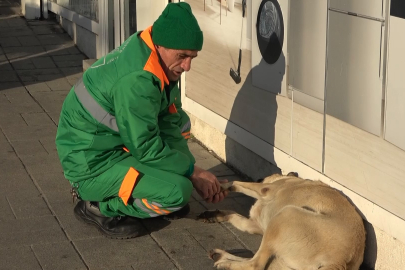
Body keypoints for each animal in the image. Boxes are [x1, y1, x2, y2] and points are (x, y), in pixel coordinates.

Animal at [197, 173, 364, 270]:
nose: (258, 178)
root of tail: (339, 261)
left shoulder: (265, 189)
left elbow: (236, 183)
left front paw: (220, 185)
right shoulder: (253, 225)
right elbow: (233, 215)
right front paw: (215, 214)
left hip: (285, 215)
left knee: (256, 265)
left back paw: (226, 264)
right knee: (258, 261)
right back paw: (221, 256)